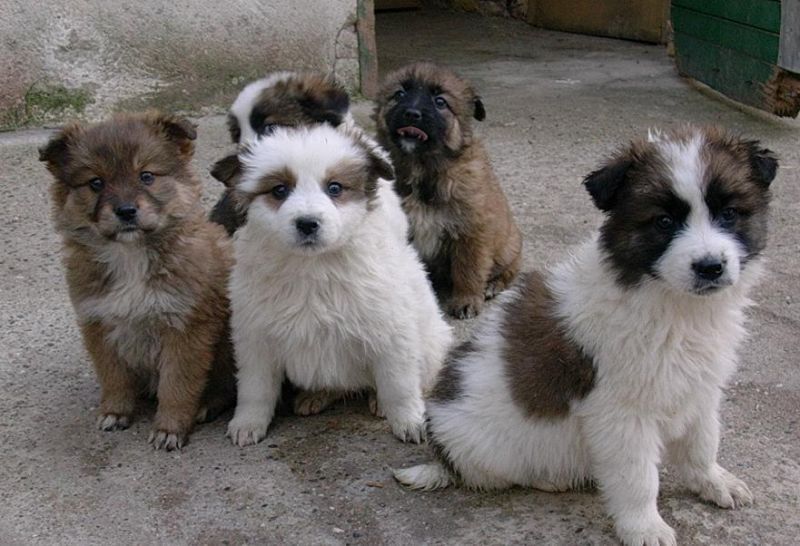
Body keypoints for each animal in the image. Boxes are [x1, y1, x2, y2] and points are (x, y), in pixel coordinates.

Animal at [41, 111, 234, 450]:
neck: (130, 256)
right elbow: (113, 376)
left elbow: (177, 385)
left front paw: (170, 429)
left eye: (146, 176)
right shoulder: (98, 323)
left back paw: (206, 406)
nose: (126, 211)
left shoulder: (185, 329)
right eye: (96, 182)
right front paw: (115, 412)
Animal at [225, 124, 454, 446]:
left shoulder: (392, 333)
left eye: (334, 188)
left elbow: (399, 385)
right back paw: (317, 396)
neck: (313, 267)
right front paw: (247, 423)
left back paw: (378, 401)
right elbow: (254, 388)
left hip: (432, 342)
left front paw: (410, 420)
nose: (307, 223)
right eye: (279, 190)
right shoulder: (255, 336)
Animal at [376, 62, 524, 318]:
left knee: (510, 269)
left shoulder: (470, 230)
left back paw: (493, 285)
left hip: (509, 245)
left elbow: (469, 268)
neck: (421, 170)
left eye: (440, 102)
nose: (412, 114)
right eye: (400, 94)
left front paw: (466, 299)